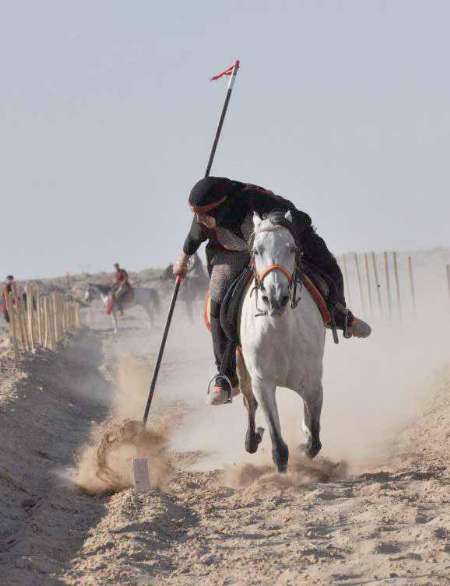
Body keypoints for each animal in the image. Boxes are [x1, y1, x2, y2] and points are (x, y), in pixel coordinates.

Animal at [237, 212, 326, 472]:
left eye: (292, 248)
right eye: (256, 250)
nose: (276, 298)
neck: (280, 333)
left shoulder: (313, 383)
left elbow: (314, 437)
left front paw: (305, 446)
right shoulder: (263, 384)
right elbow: (277, 443)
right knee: (249, 403)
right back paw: (252, 438)